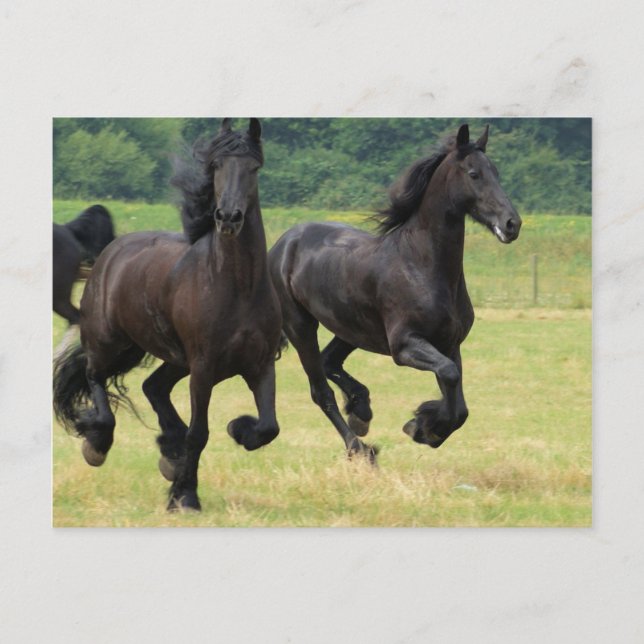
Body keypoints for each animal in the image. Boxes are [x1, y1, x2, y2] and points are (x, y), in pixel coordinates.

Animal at [53, 118, 283, 511]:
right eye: (216, 166)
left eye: (254, 168)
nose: (228, 217)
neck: (237, 287)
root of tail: (112, 250)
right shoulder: (203, 370)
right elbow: (199, 433)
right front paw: (186, 496)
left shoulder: (261, 364)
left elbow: (268, 428)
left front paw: (239, 429)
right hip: (110, 341)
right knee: (94, 376)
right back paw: (98, 442)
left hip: (173, 357)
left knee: (153, 386)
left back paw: (169, 453)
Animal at [268, 124, 522, 461]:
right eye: (474, 174)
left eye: (496, 172)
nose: (512, 223)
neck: (421, 266)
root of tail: (282, 244)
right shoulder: (405, 345)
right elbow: (450, 376)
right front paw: (422, 425)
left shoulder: (449, 344)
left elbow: (459, 404)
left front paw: (424, 427)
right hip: (301, 327)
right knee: (320, 390)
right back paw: (360, 448)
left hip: (351, 328)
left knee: (329, 361)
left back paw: (361, 410)